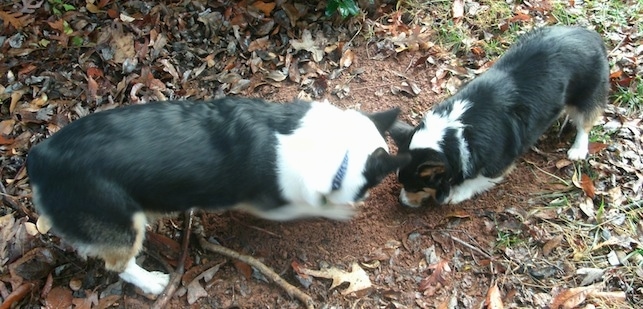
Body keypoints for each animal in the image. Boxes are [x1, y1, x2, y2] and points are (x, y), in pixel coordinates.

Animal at [27, 97, 410, 294]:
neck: (335, 147)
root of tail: (39, 158)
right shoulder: (273, 203)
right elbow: (310, 205)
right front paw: (341, 210)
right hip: (123, 224)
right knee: (119, 265)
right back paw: (152, 282)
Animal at [392, 25, 608, 206]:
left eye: (415, 187)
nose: (402, 202)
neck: (458, 133)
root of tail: (592, 35)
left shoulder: (499, 165)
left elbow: (478, 179)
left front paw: (456, 193)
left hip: (587, 95)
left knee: (585, 123)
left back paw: (578, 149)